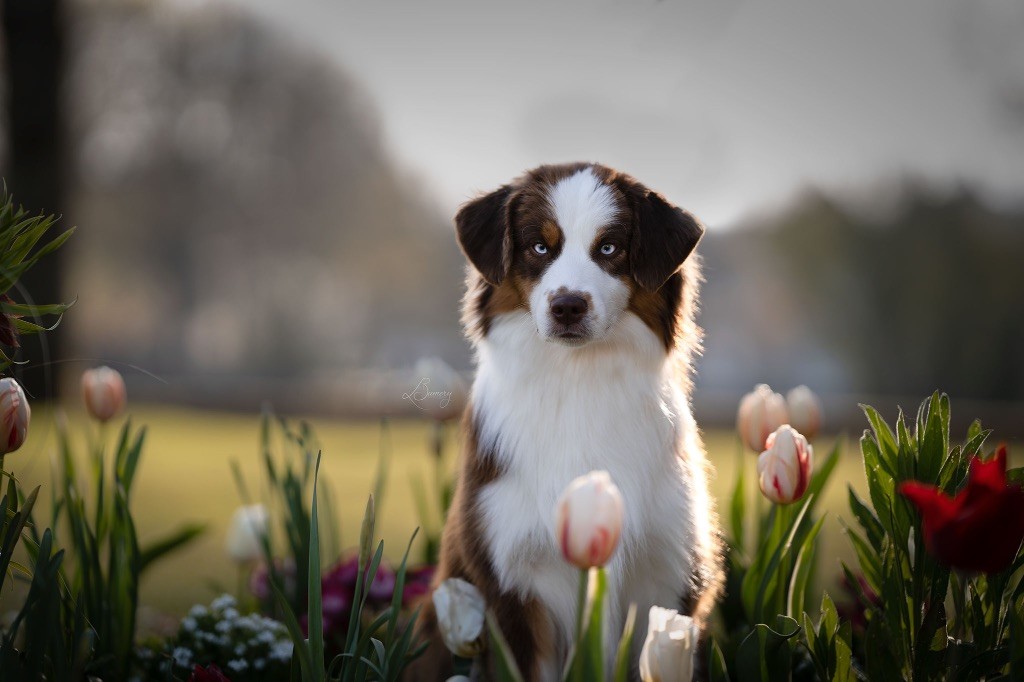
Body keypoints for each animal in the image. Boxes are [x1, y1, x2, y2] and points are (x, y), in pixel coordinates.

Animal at [411, 161, 724, 675]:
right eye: (540, 247)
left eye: (609, 248)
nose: (568, 306)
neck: (578, 379)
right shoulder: (513, 587)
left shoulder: (668, 578)